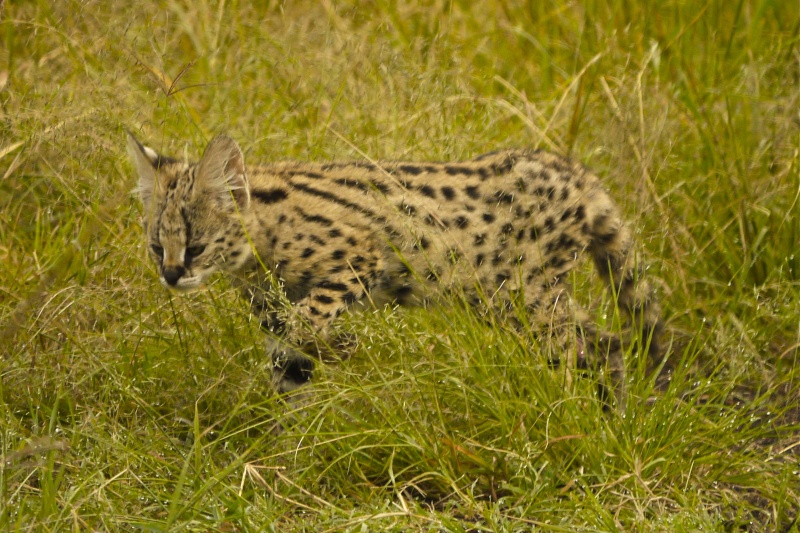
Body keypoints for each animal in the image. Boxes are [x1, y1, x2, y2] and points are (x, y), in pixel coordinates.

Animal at [126, 132, 664, 400]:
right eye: (156, 247)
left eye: (195, 247)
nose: (171, 276)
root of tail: (578, 174)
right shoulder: (275, 323)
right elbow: (290, 373)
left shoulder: (359, 256)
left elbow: (307, 324)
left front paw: (342, 347)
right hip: (521, 299)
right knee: (606, 342)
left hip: (523, 297)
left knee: (589, 347)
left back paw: (584, 417)